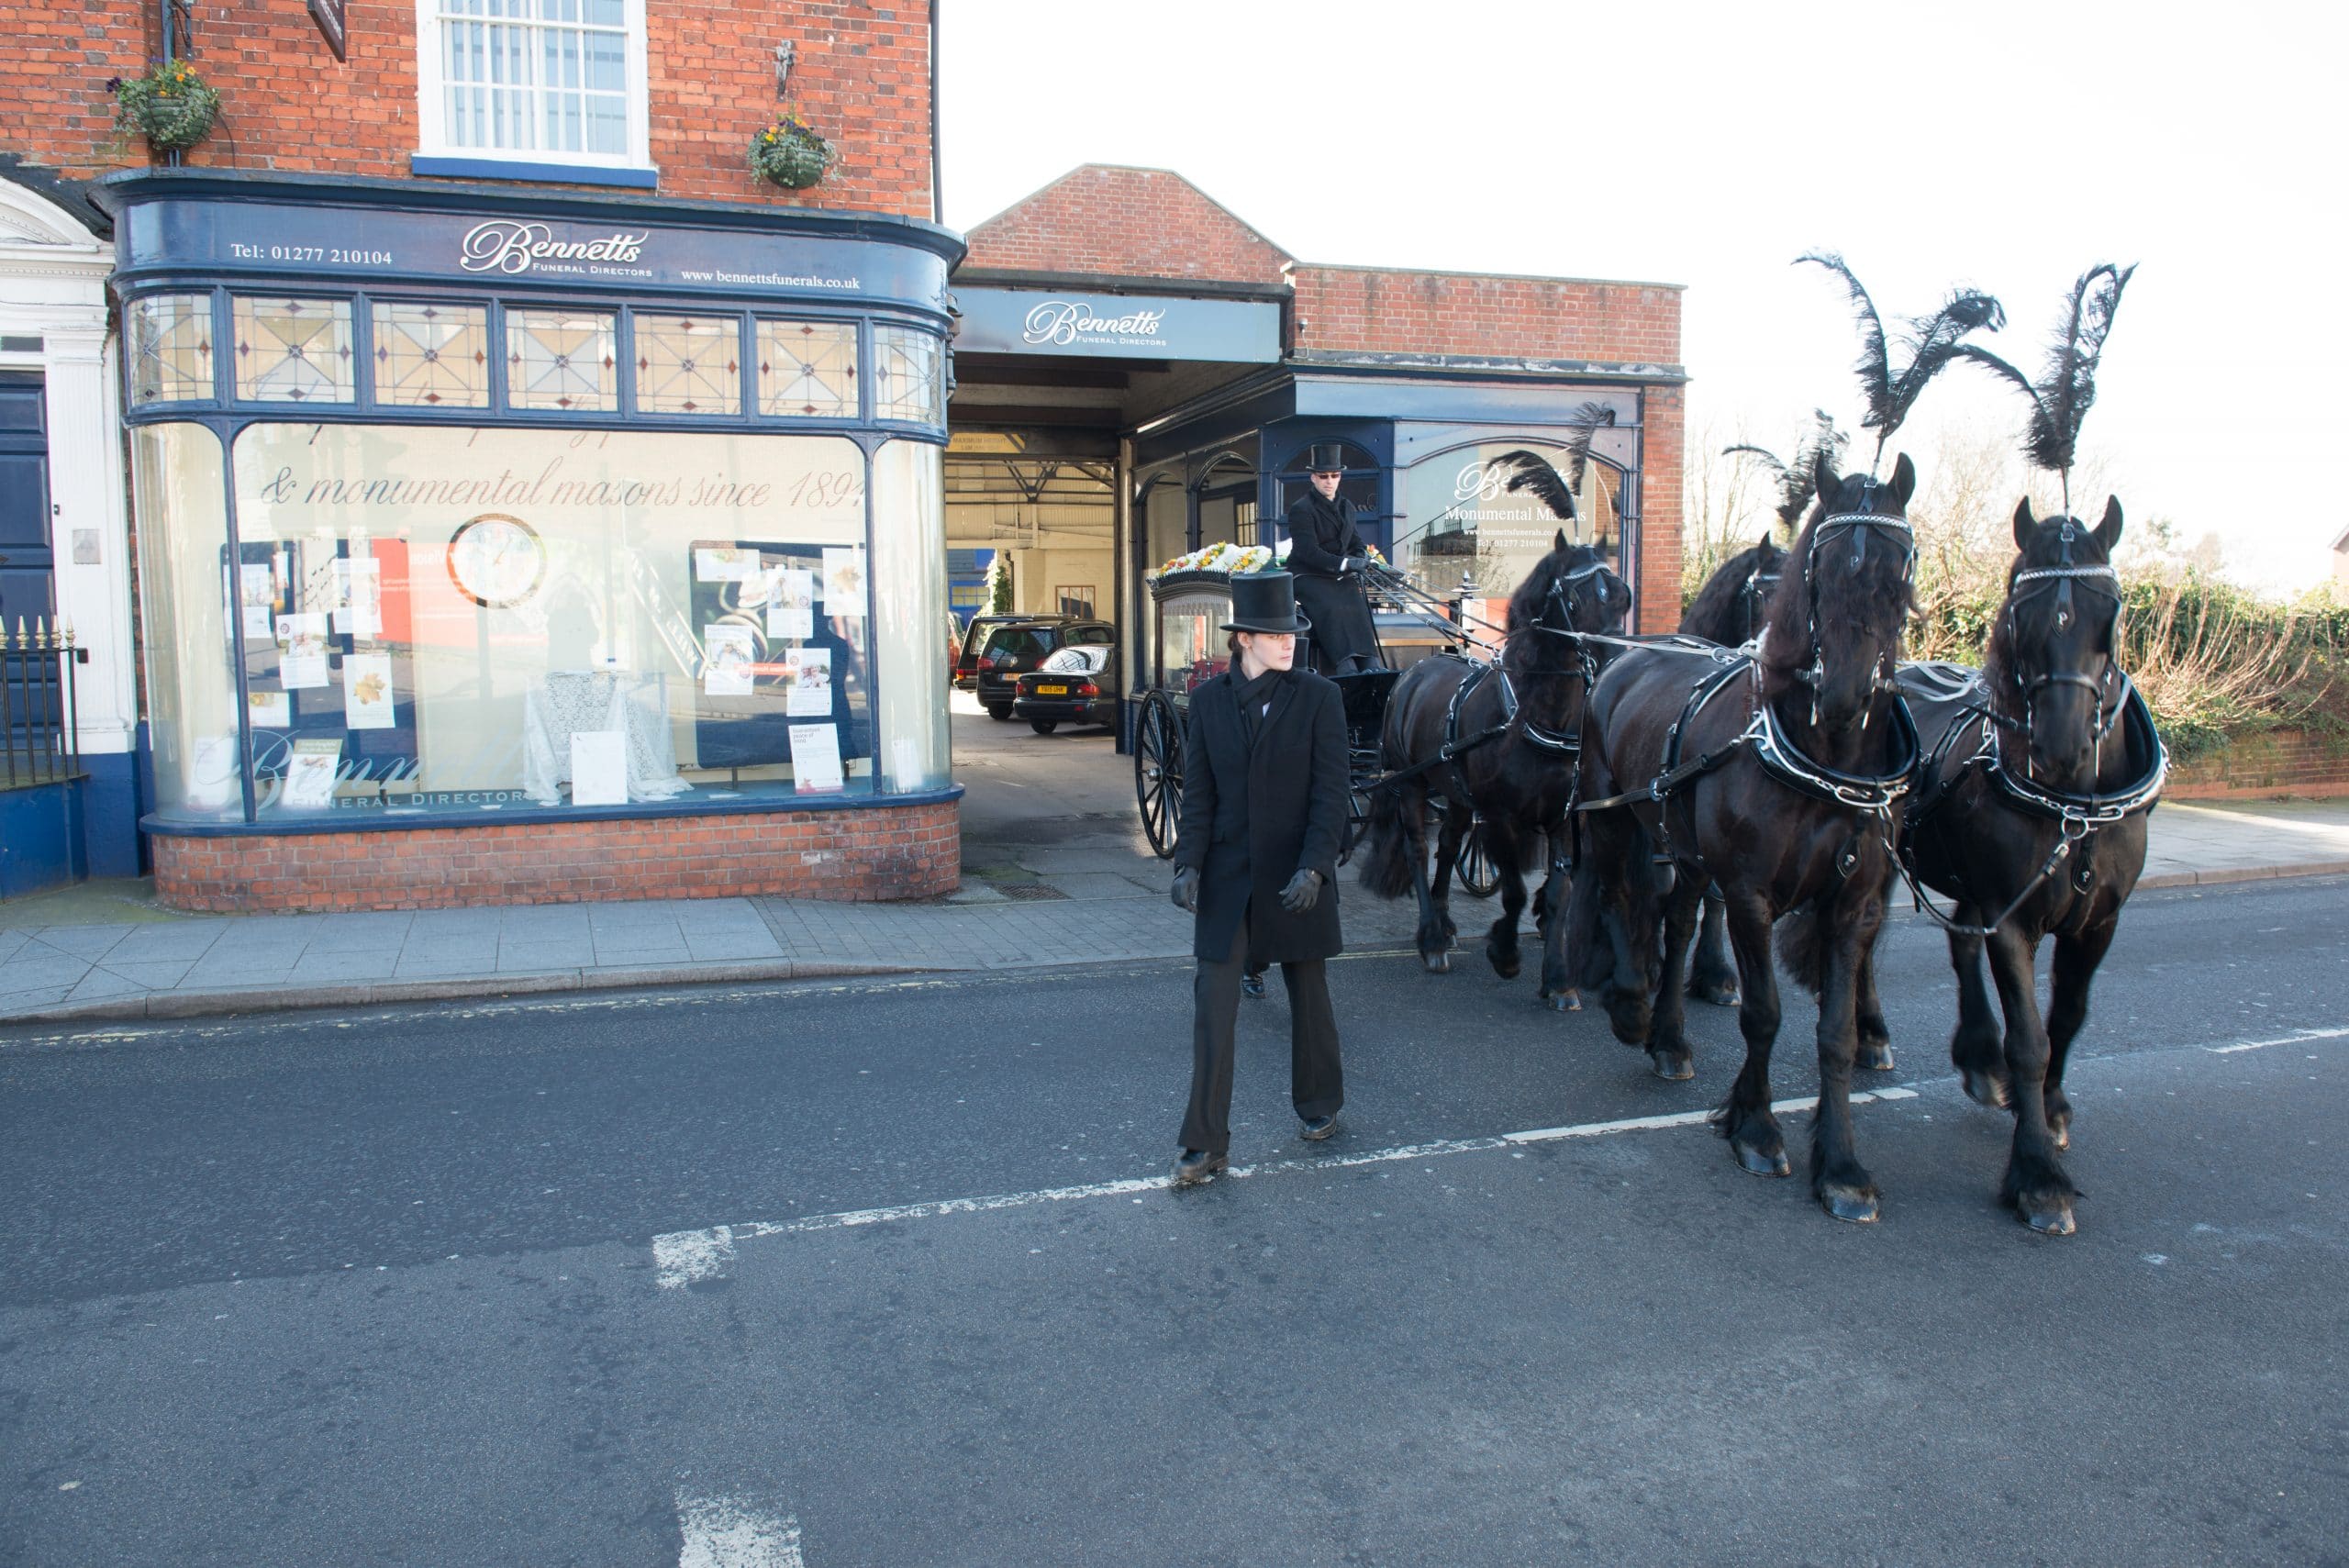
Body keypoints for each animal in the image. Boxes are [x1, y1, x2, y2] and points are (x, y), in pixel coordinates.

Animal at [1353, 526, 1625, 990]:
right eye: (1573, 601)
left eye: (1624, 597)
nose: (1614, 665)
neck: (1529, 715)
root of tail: (1411, 674)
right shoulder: (1499, 815)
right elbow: (1514, 890)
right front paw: (1506, 954)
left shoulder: (1561, 817)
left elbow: (1559, 891)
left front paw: (1557, 978)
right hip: (1411, 781)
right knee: (1418, 849)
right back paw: (1432, 938)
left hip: (1454, 791)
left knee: (1447, 846)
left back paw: (1444, 922)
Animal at [1550, 452, 1916, 1220]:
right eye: (1821, 564)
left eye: (1902, 562)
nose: (1844, 693)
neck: (1820, 757)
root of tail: (1625, 658)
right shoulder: (1751, 892)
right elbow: (1764, 1013)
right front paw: (1755, 1126)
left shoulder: (1852, 903)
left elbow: (1833, 1032)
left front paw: (1840, 1164)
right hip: (1610, 811)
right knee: (1614, 888)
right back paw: (1622, 996)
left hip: (1678, 838)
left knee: (1676, 914)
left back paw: (1667, 1035)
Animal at [1898, 495, 2151, 1229]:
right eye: (2019, 608)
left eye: (2111, 608)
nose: (2060, 748)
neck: (2075, 806)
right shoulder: (2014, 918)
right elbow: (2031, 1039)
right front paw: (2038, 1175)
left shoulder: (2100, 921)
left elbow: (2068, 1016)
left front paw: (2054, 1108)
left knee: (1960, 942)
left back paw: (1979, 1055)